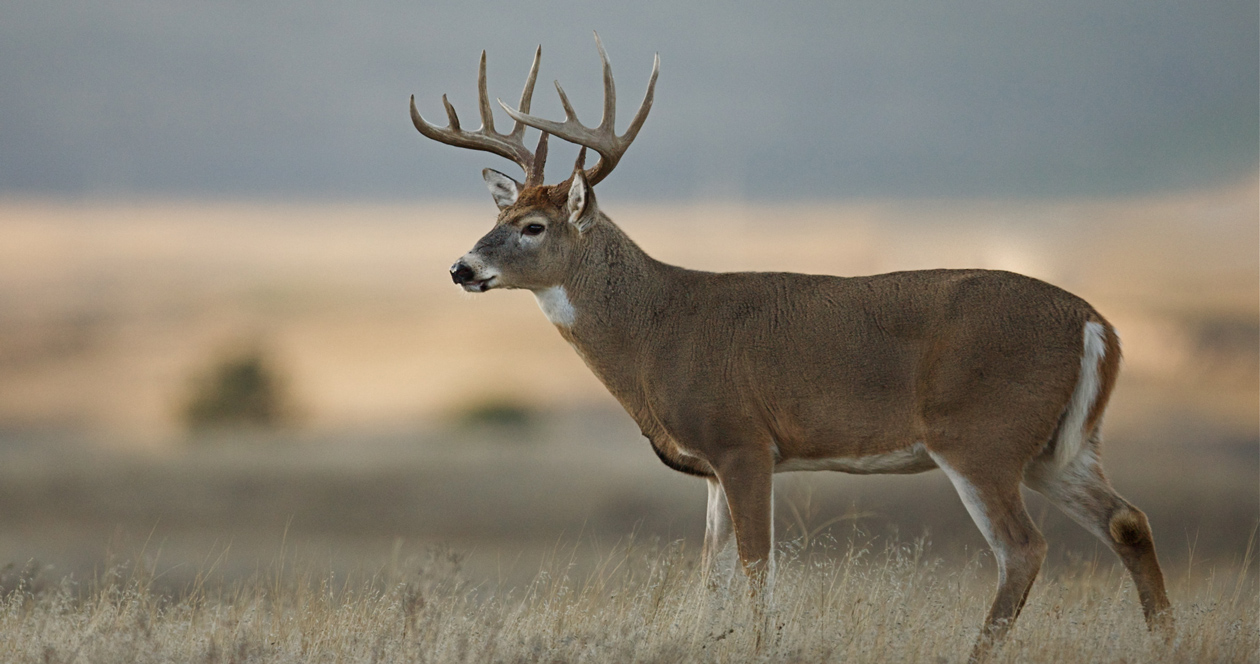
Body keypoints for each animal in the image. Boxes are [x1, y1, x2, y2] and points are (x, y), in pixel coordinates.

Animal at [410, 34, 1173, 660]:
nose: (460, 268)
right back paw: (1164, 638)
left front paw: (760, 645)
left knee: (1023, 548)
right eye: (499, 214)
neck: (657, 331)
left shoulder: (743, 439)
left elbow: (756, 565)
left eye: (534, 226)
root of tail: (1096, 323)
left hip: (980, 434)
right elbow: (712, 574)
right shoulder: (712, 467)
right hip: (1056, 446)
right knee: (1127, 520)